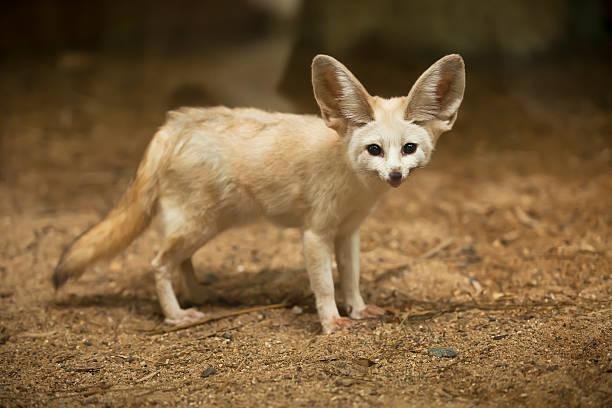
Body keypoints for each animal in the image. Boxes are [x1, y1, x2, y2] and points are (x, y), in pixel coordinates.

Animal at [53, 54, 464, 334]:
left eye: (409, 149)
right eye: (374, 150)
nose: (395, 175)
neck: (355, 186)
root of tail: (172, 125)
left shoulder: (349, 232)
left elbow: (351, 278)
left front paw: (359, 309)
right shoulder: (315, 233)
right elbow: (325, 285)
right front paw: (331, 322)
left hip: (207, 226)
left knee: (180, 261)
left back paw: (199, 295)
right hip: (198, 225)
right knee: (158, 263)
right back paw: (176, 315)